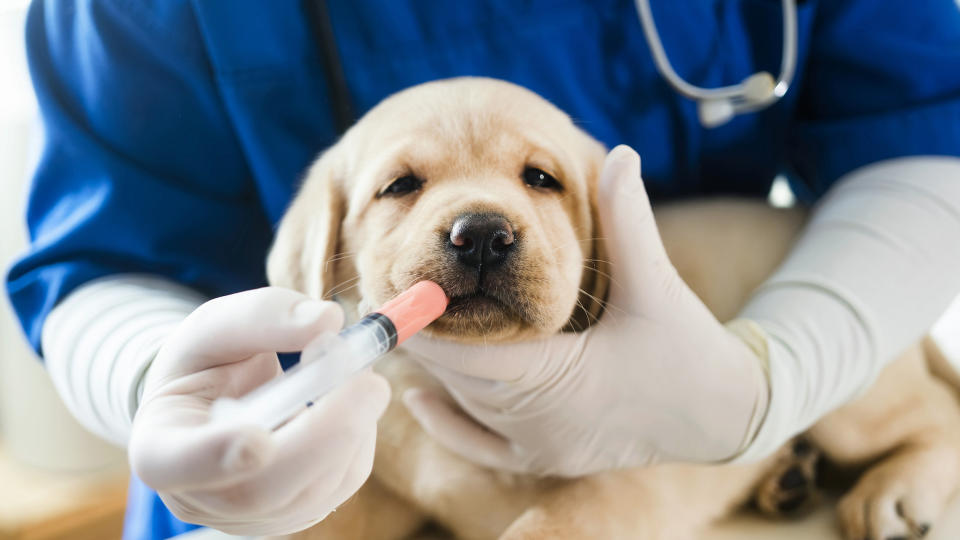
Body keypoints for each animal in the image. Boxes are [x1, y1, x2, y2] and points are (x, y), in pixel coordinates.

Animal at [266, 77, 960, 540]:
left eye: (541, 179)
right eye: (401, 186)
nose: (483, 234)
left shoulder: (631, 475)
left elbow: (546, 524)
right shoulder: (385, 481)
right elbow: (324, 513)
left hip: (858, 402)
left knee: (936, 413)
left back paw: (894, 492)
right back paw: (787, 478)